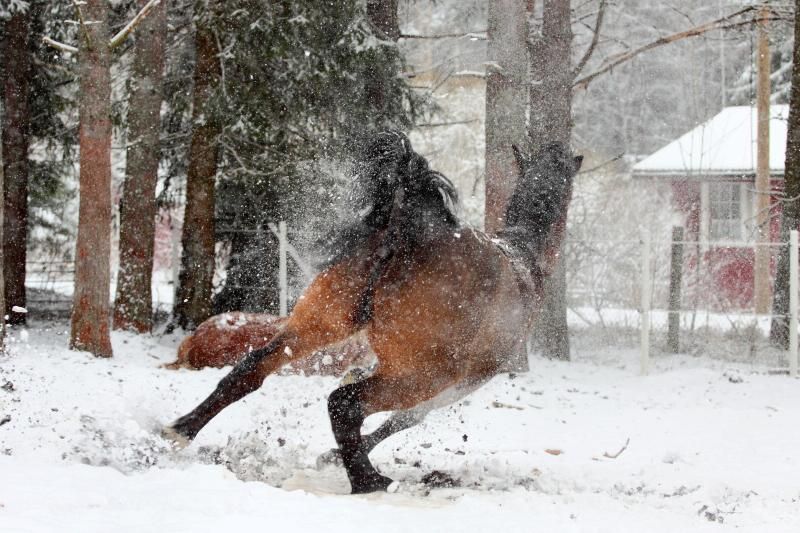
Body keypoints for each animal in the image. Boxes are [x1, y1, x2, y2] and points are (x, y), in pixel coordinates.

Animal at [163, 131, 582, 494]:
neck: (523, 258)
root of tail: (407, 231)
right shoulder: (468, 379)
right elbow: (406, 418)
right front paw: (339, 456)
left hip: (318, 325)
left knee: (251, 370)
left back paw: (180, 430)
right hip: (425, 372)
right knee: (345, 403)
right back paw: (369, 481)